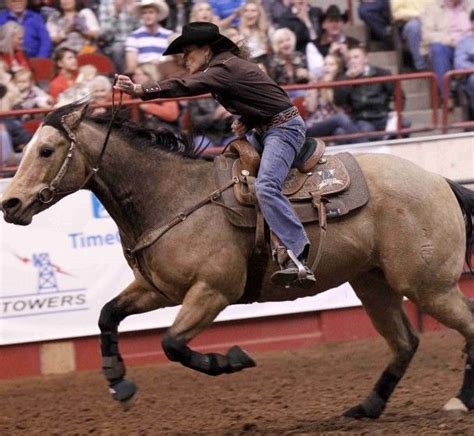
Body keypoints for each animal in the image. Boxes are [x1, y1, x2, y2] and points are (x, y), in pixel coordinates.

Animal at [0, 100, 474, 418]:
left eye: (46, 151)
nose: (10, 203)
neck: (171, 196)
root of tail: (439, 181)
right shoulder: (159, 290)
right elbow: (107, 314)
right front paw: (118, 381)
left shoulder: (213, 290)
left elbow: (173, 344)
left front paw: (232, 359)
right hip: (373, 282)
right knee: (405, 341)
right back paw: (368, 406)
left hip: (428, 286)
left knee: (463, 325)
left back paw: (459, 399)